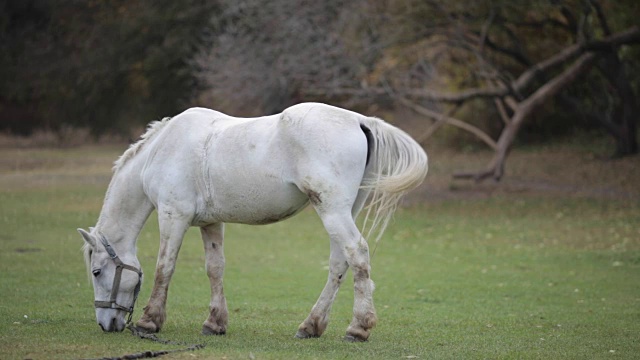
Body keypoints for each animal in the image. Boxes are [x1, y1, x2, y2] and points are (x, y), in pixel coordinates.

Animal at [77, 101, 428, 340]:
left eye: (96, 271)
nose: (107, 324)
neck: (162, 149)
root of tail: (359, 120)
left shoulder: (172, 215)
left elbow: (165, 267)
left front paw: (150, 321)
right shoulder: (210, 223)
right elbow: (215, 269)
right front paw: (215, 323)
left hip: (333, 211)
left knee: (357, 254)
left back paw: (358, 327)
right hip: (344, 211)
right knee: (339, 263)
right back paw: (311, 325)